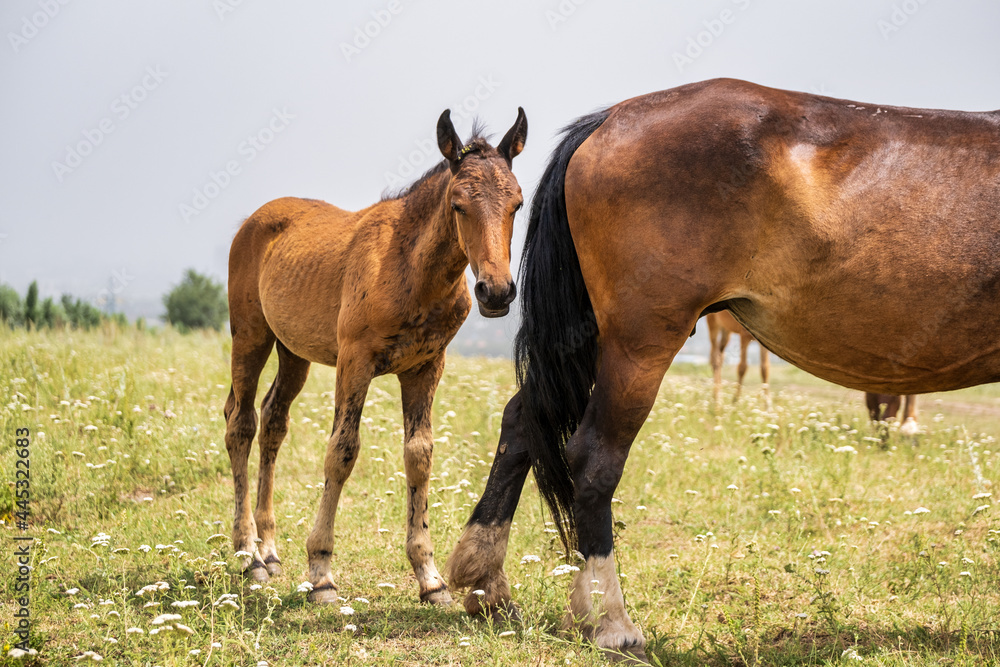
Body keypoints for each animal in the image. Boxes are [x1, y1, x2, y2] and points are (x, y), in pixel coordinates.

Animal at [223, 108, 527, 605]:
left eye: (516, 204)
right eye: (458, 204)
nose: (496, 292)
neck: (411, 269)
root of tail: (254, 220)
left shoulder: (426, 367)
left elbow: (419, 455)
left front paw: (430, 579)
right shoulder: (355, 361)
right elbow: (342, 451)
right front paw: (322, 573)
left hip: (293, 352)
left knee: (273, 422)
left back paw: (269, 550)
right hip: (250, 335)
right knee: (241, 424)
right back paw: (248, 555)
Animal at [446, 78, 1000, 661]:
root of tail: (609, 120)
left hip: (591, 337)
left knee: (523, 419)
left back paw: (485, 582)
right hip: (640, 343)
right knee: (593, 457)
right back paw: (610, 621)